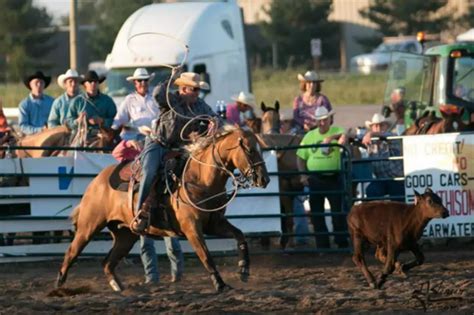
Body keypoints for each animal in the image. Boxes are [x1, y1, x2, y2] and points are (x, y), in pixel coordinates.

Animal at [55, 126, 268, 294]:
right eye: (249, 150)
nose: (264, 179)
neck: (200, 178)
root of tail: (96, 181)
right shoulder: (192, 229)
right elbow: (206, 256)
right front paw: (220, 284)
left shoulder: (214, 224)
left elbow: (240, 235)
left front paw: (243, 270)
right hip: (89, 226)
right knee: (71, 253)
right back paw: (59, 288)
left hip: (126, 235)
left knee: (108, 262)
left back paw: (119, 288)